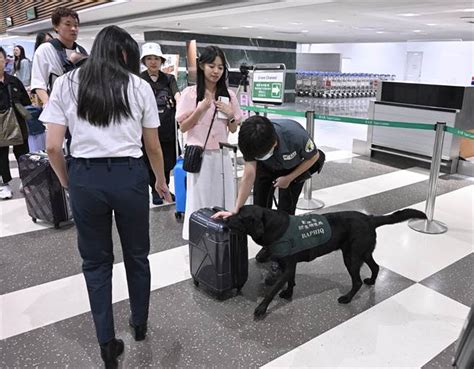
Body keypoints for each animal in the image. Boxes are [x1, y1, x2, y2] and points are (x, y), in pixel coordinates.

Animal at [226, 204, 426, 316]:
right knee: (375, 267)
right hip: (362, 253)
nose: (226, 219)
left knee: (357, 281)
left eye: (241, 218)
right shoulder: (291, 266)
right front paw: (288, 294)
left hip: (351, 257)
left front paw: (262, 309)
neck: (274, 227)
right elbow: (291, 281)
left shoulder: (288, 266)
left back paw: (347, 298)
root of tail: (370, 219)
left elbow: (272, 290)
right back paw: (371, 281)